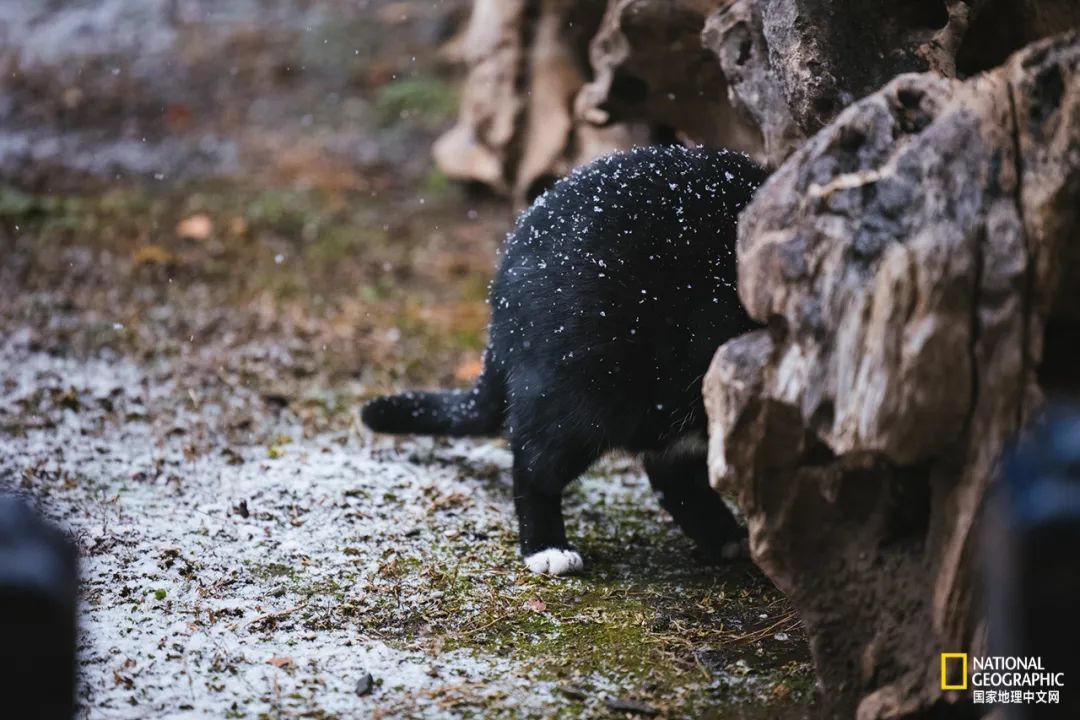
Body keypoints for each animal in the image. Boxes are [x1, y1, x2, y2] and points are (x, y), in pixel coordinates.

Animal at [365, 144, 768, 574]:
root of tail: (500, 297)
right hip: (585, 389)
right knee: (535, 463)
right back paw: (546, 547)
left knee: (670, 471)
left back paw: (725, 537)